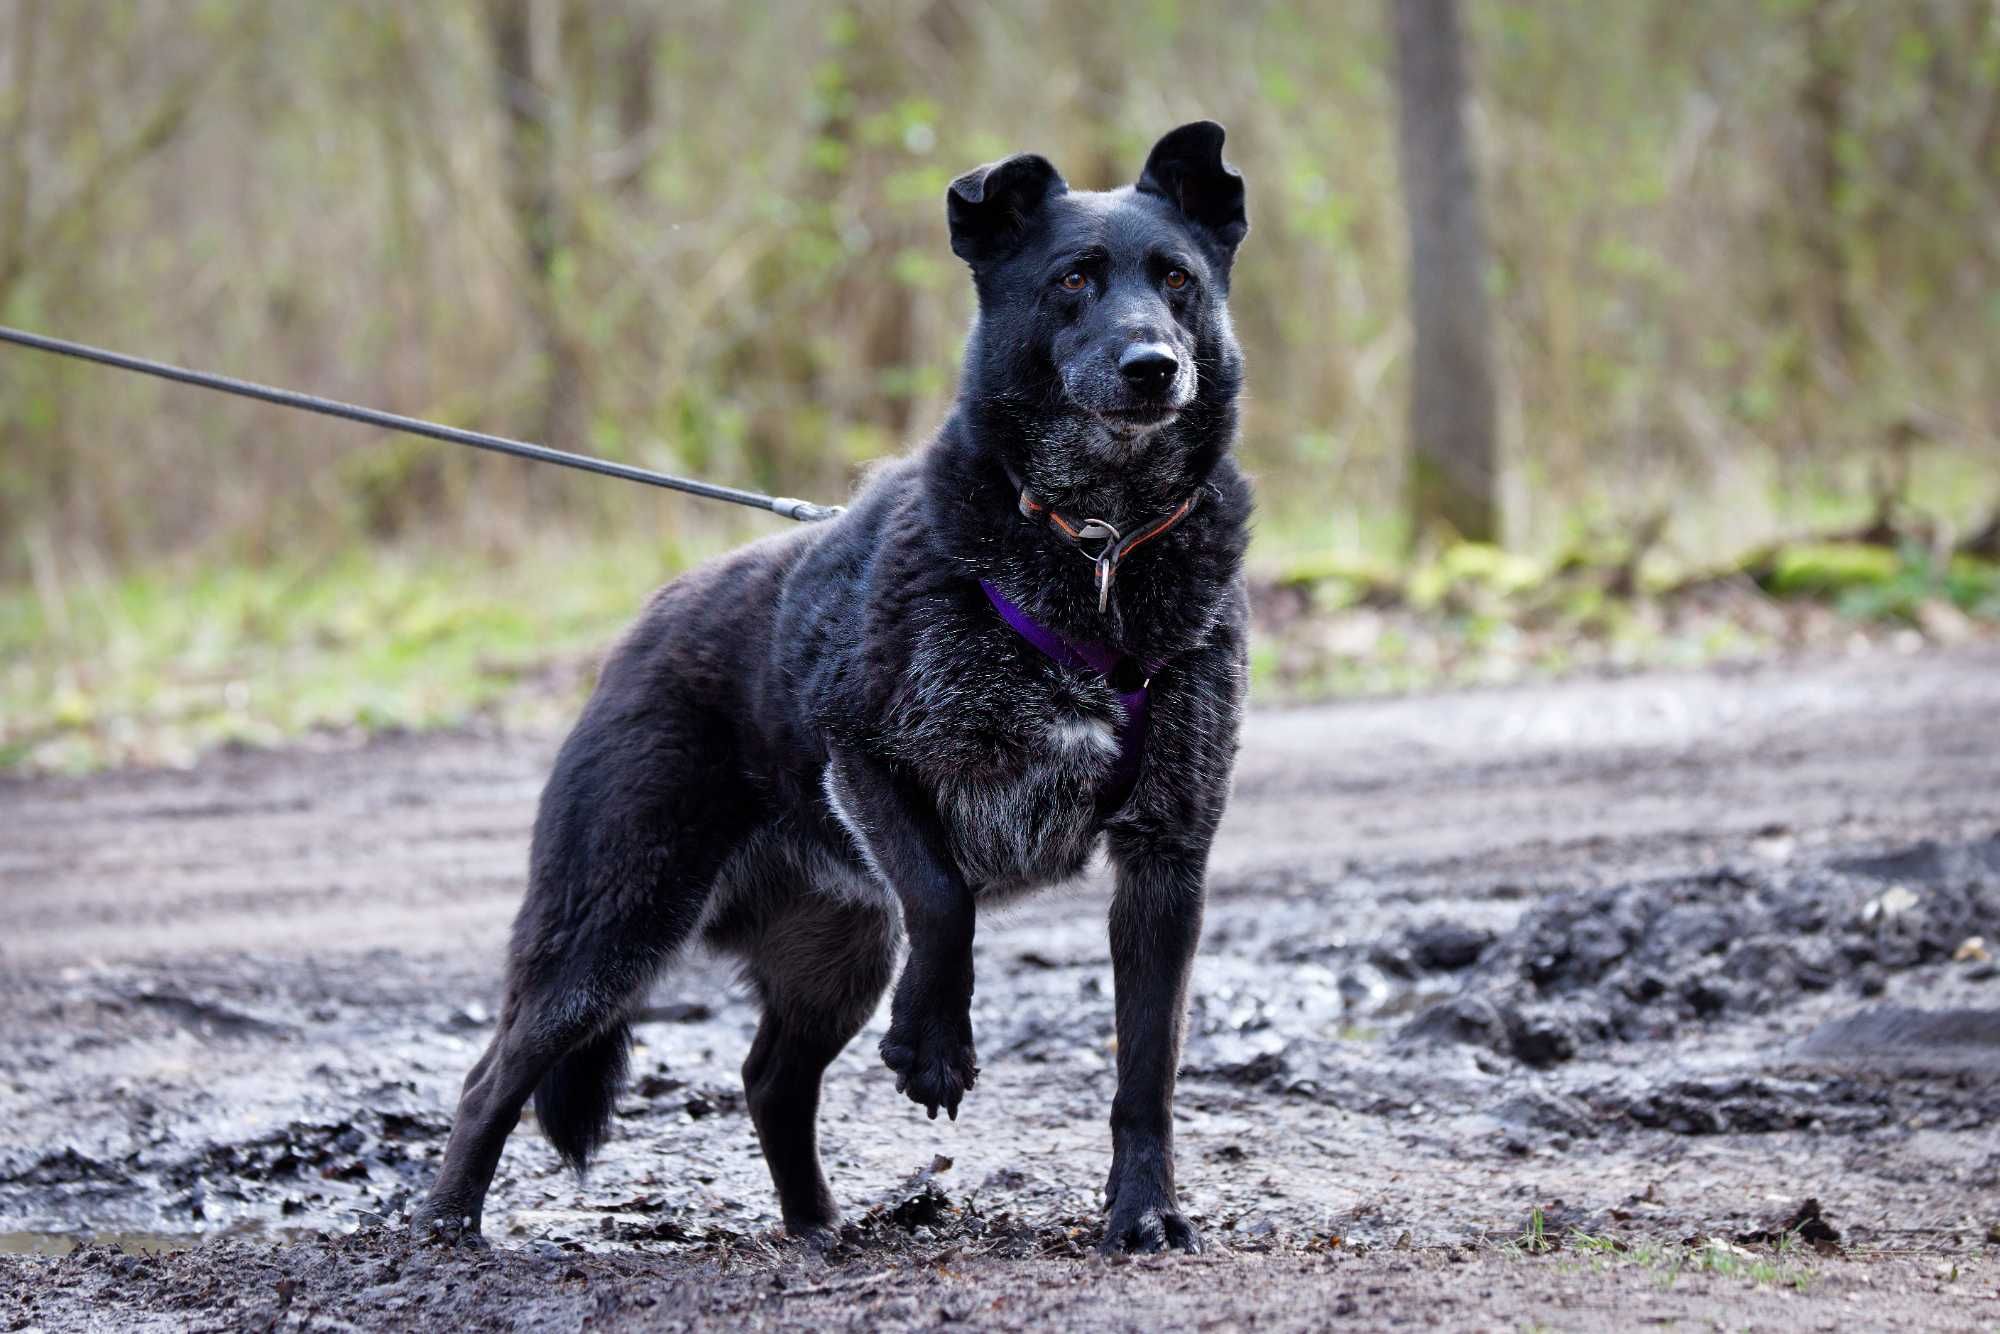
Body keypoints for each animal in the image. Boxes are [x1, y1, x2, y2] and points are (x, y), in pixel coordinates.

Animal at [406, 120, 1248, 1256]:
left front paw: (1143, 1208)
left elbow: (1145, 1069)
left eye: (1177, 278)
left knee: (769, 1078)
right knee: (492, 1074)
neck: (1096, 550)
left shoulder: (1165, 862)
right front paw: (933, 1044)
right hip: (610, 935)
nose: (1154, 367)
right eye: (1073, 279)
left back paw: (817, 1225)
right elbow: (943, 896)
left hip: (832, 953)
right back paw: (447, 1224)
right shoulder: (865, 756)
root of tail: (638, 633)